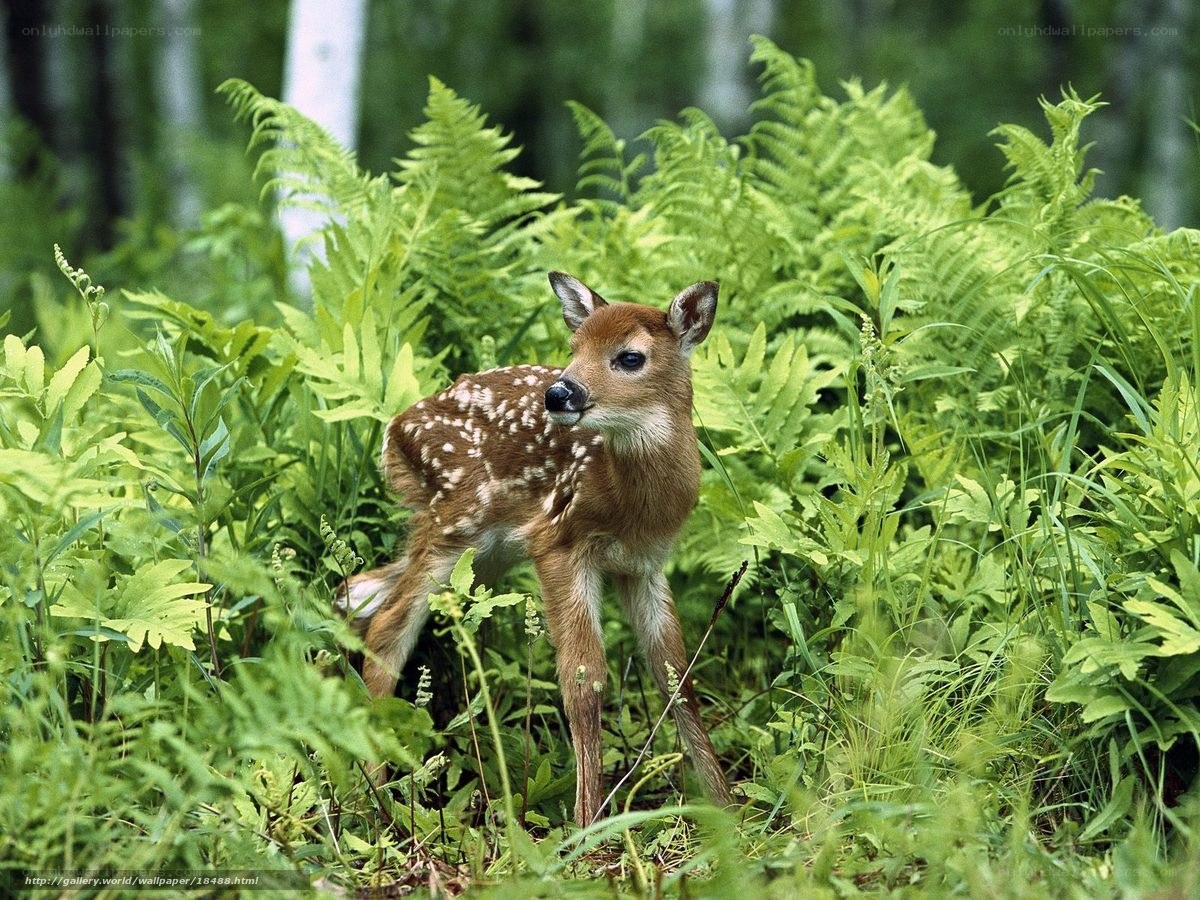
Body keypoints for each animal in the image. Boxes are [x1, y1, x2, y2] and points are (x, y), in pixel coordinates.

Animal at [338, 272, 732, 826]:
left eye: (630, 357)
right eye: (574, 346)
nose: (560, 392)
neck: (630, 504)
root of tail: (393, 431)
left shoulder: (644, 565)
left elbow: (676, 674)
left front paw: (728, 806)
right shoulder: (560, 542)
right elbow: (584, 679)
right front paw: (588, 824)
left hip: (484, 551)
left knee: (359, 591)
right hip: (456, 520)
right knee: (389, 625)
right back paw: (376, 796)